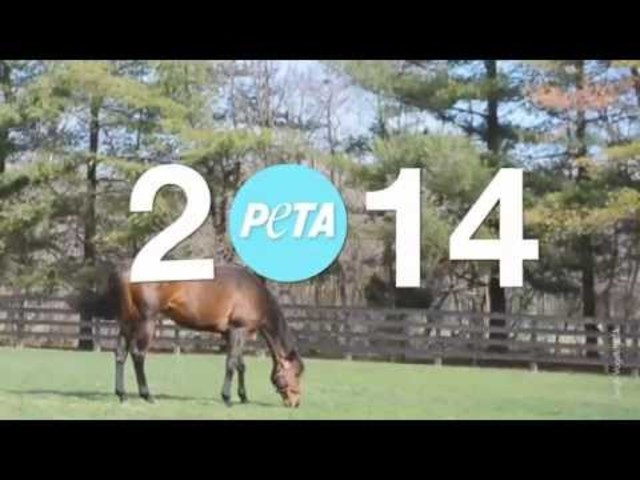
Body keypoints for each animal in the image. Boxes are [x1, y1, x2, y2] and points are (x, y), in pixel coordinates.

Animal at [74, 263, 304, 408]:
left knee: (120, 354)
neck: (254, 294)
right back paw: (147, 396)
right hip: (146, 321)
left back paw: (122, 395)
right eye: (296, 373)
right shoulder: (238, 331)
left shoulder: (229, 333)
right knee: (138, 355)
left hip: (127, 322)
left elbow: (240, 364)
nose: (295, 403)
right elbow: (231, 364)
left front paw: (243, 397)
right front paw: (227, 398)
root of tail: (124, 269)